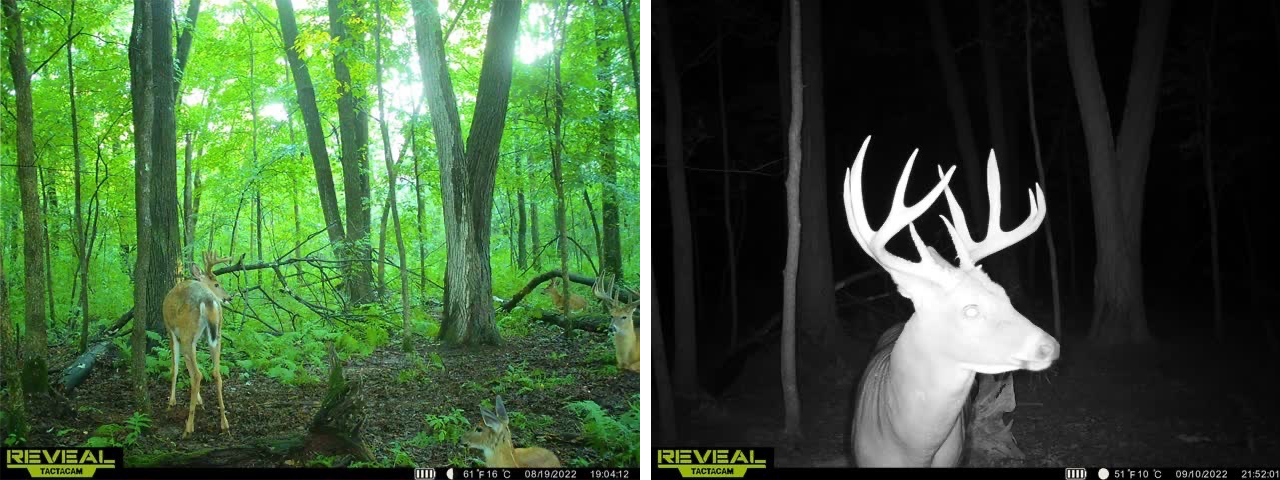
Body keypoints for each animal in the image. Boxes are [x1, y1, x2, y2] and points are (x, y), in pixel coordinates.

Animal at [162, 252, 235, 440]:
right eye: (216, 283)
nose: (229, 298)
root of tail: (209, 300)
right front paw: (201, 401)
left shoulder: (171, 330)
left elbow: (175, 367)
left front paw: (171, 402)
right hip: (216, 334)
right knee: (216, 373)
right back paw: (225, 424)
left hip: (187, 333)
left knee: (197, 374)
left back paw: (188, 427)